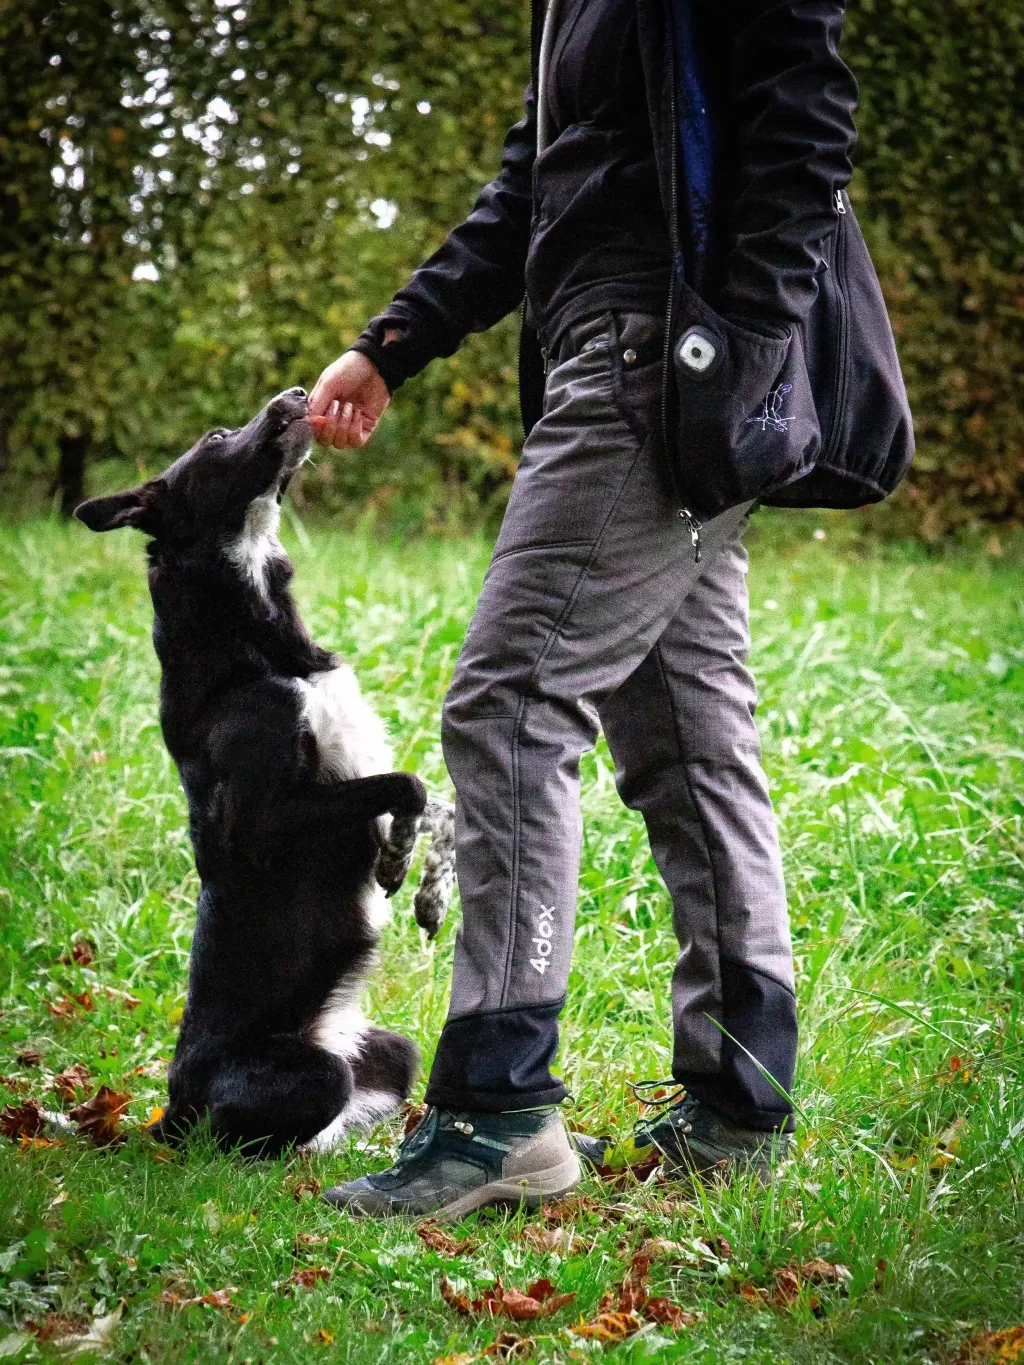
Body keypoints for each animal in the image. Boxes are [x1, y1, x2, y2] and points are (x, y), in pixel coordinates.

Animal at [76, 390, 453, 1157]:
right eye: (217, 435)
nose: (298, 395)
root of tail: (170, 1108)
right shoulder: (265, 809)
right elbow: (407, 784)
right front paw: (395, 858)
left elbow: (444, 805)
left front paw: (433, 890)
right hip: (308, 1076)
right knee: (249, 1142)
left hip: (390, 1047)